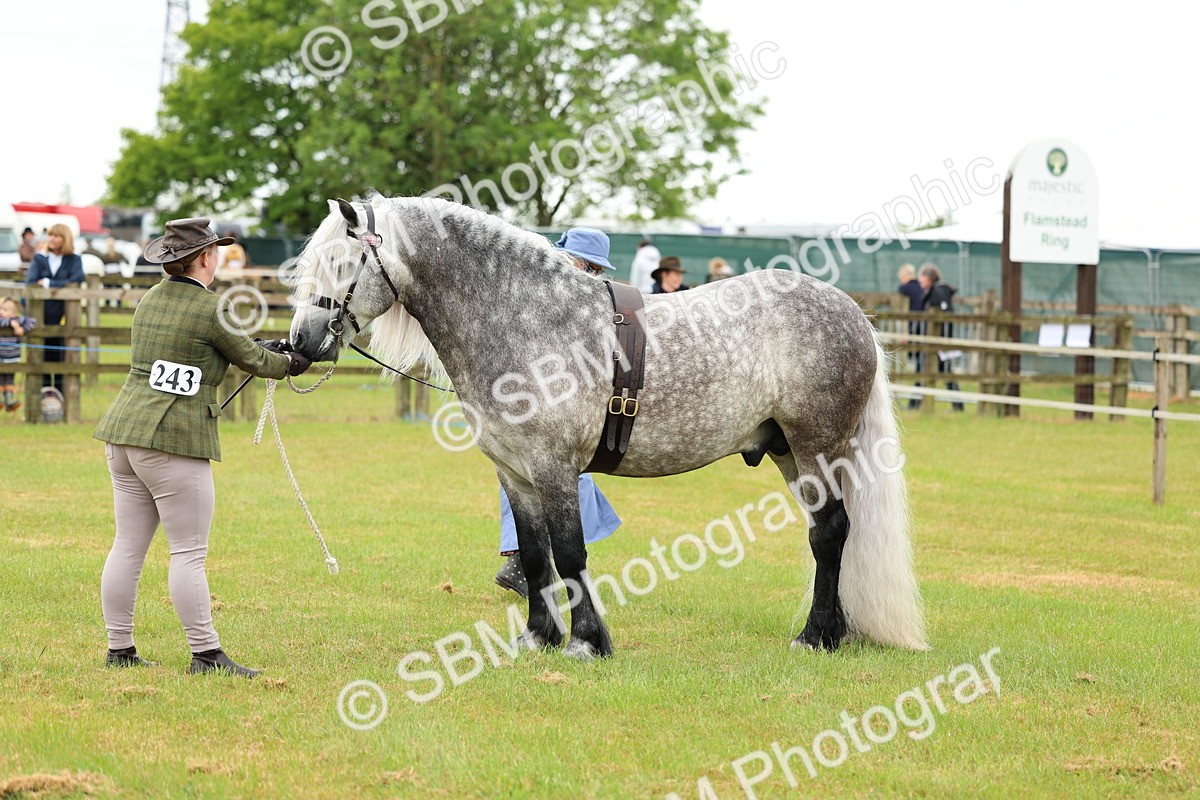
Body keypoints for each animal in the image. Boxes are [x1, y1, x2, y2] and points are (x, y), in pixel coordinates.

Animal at [288, 194, 927, 660]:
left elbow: (571, 554)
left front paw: (587, 643)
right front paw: (537, 637)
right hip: (790, 453)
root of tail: (852, 312)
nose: (299, 343)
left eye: (340, 264)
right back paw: (834, 631)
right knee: (830, 533)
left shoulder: (554, 468)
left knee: (831, 533)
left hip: (817, 446)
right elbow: (535, 554)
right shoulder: (515, 474)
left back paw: (815, 638)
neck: (526, 316)